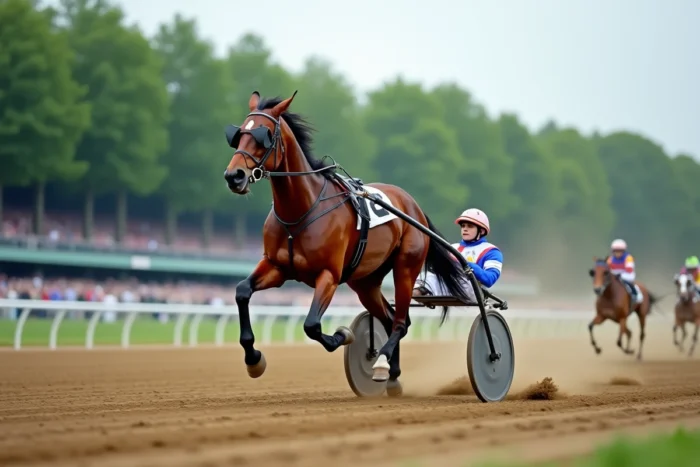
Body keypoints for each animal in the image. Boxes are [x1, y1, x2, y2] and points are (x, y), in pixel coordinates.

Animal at [222, 91, 473, 395]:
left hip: (405, 268)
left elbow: (312, 325)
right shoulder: (276, 267)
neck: (301, 211)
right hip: (364, 282)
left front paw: (343, 335)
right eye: (237, 135)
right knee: (391, 318)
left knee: (400, 322)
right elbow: (241, 292)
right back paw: (392, 374)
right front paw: (254, 358)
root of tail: (413, 206)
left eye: (264, 135)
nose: (234, 176)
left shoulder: (329, 275)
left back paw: (381, 363)